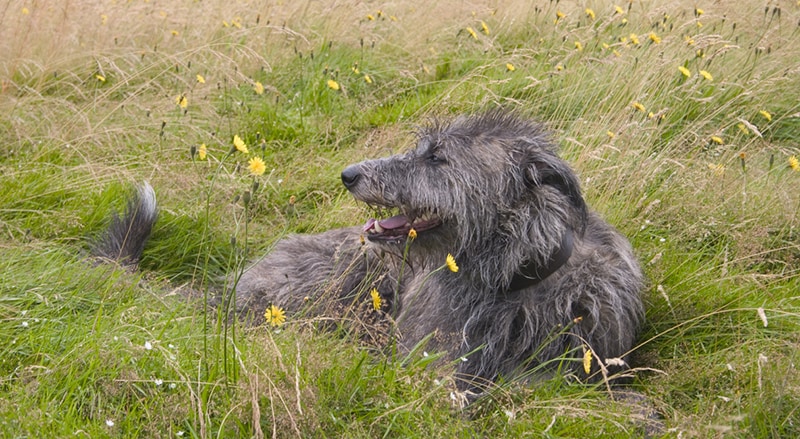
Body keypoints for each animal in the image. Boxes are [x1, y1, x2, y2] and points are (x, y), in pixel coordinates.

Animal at [97, 111, 644, 390]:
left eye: (437, 157)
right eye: (424, 148)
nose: (348, 174)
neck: (512, 277)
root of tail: (230, 289)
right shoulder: (432, 360)